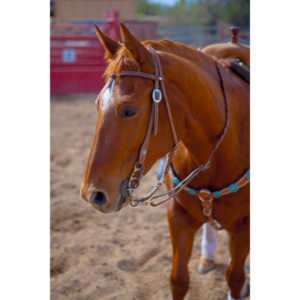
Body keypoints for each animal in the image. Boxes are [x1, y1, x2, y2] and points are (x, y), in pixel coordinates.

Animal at [81, 23, 250, 300]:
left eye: (129, 110)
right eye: (97, 104)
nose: (92, 194)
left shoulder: (243, 227)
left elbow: (235, 277)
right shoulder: (178, 217)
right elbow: (178, 279)